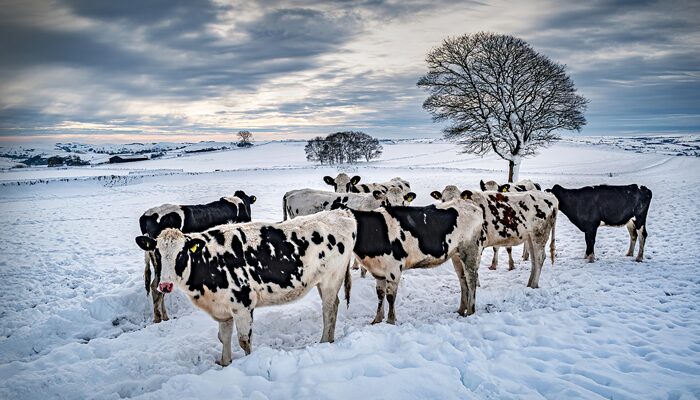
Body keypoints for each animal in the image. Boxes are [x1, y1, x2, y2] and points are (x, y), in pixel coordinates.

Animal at [134, 209, 357, 366]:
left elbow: (244, 340)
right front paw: (225, 362)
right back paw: (330, 339)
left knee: (328, 310)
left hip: (331, 279)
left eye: (181, 254)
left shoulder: (242, 304)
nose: (165, 285)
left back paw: (324, 341)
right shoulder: (223, 308)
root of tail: (342, 213)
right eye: (157, 253)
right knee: (335, 306)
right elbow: (223, 337)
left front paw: (248, 361)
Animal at [345, 200, 485, 324]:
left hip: (470, 251)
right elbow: (380, 295)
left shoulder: (393, 269)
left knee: (471, 280)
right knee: (463, 281)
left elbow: (390, 297)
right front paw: (377, 320)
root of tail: (473, 206)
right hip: (456, 255)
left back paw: (470, 312)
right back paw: (461, 310)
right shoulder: (379, 271)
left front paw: (390, 321)